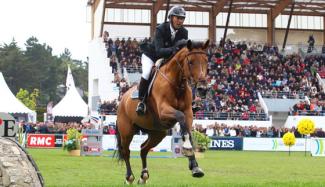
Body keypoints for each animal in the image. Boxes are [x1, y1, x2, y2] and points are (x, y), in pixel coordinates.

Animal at [115, 39, 209, 184]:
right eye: (191, 62)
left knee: (143, 149)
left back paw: (144, 176)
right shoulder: (164, 111)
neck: (177, 84)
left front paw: (195, 167)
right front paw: (187, 148)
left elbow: (187, 130)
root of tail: (122, 100)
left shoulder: (188, 112)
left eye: (206, 61)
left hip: (158, 133)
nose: (203, 89)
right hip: (127, 131)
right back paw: (129, 177)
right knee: (126, 151)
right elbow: (180, 117)